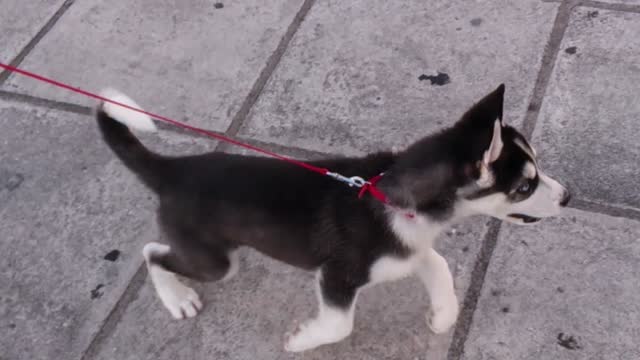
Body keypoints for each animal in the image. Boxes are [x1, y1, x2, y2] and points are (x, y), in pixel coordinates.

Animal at [95, 85, 568, 352]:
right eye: (525, 187)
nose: (568, 197)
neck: (393, 197)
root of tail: (172, 169)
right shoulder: (337, 274)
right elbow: (339, 324)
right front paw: (301, 339)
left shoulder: (407, 249)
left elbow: (437, 264)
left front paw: (443, 316)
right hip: (214, 261)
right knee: (152, 251)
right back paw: (177, 298)